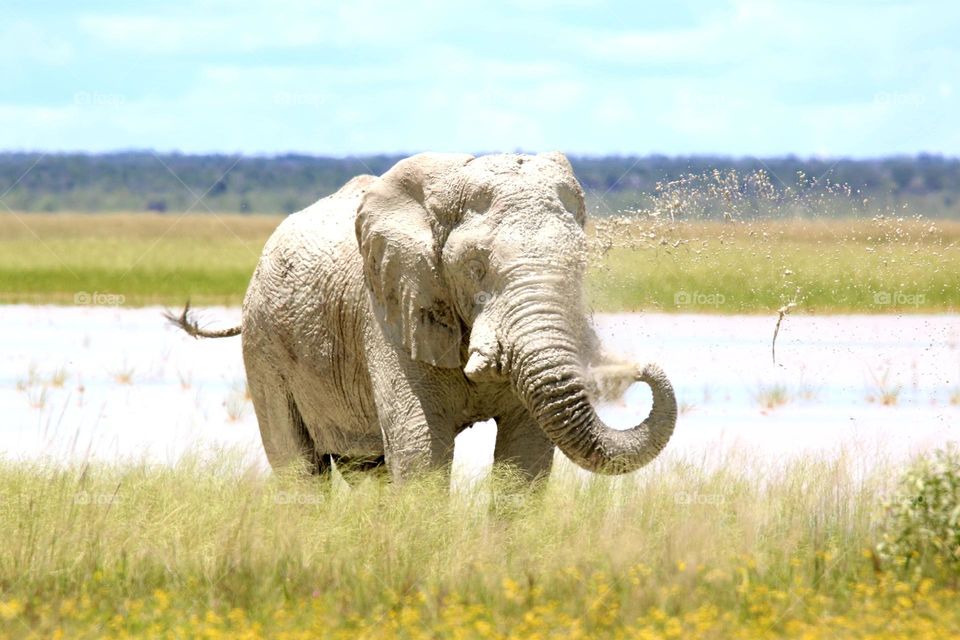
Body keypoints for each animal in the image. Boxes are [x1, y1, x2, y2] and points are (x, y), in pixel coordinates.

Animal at [168, 152, 677, 483]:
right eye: (475, 268)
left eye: (580, 264)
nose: (641, 370)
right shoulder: (388, 312)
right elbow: (420, 449)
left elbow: (526, 456)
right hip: (264, 344)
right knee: (300, 470)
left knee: (366, 470)